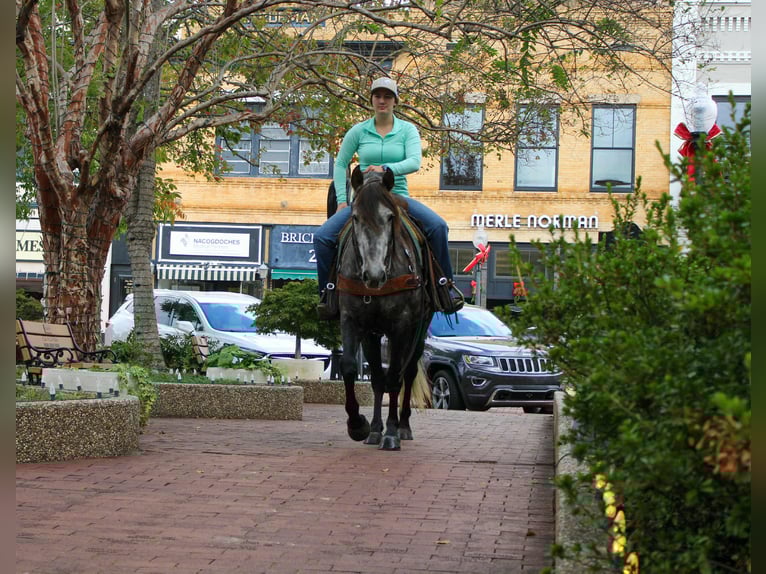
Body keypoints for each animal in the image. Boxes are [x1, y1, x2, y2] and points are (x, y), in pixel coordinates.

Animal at [335, 166, 434, 450]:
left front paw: (391, 433)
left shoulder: (401, 325)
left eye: (390, 218)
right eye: (355, 217)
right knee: (380, 378)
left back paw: (403, 426)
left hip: (418, 329)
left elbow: (394, 379)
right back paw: (375, 429)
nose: (374, 275)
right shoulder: (354, 321)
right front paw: (360, 425)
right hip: (374, 334)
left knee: (407, 372)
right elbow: (354, 368)